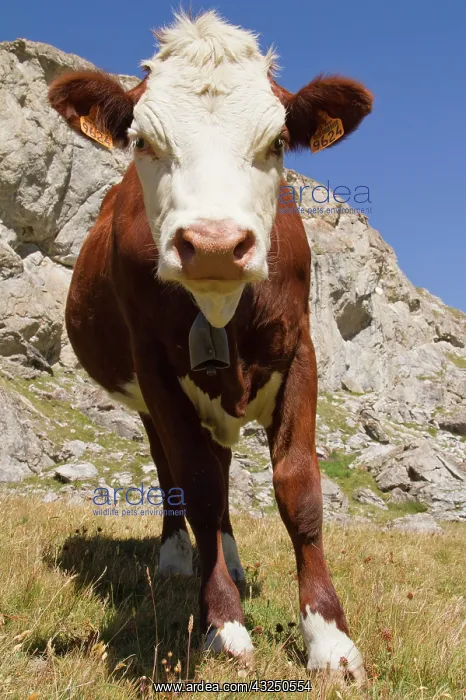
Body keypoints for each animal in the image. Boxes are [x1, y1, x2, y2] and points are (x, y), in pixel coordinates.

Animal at [48, 11, 372, 679]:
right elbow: (195, 484)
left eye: (278, 142)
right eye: (142, 141)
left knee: (222, 473)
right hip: (150, 400)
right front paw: (222, 624)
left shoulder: (300, 354)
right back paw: (180, 558)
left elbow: (299, 490)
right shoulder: (156, 370)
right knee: (175, 471)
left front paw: (329, 637)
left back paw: (229, 557)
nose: (217, 244)